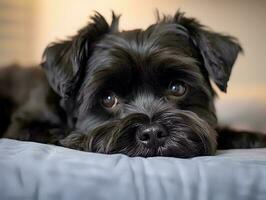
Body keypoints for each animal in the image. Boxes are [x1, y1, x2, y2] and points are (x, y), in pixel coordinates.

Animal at [1, 10, 266, 158]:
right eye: (108, 98)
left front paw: (250, 137)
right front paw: (78, 140)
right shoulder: (24, 126)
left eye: (177, 88)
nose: (153, 133)